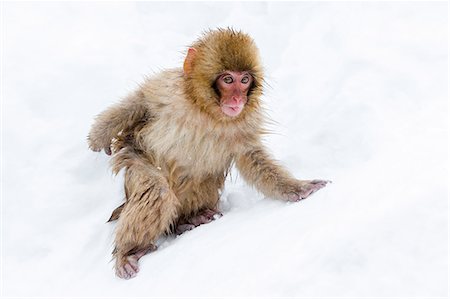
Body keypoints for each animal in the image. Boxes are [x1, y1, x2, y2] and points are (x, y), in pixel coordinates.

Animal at [87, 28, 326, 278]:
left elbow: (252, 158)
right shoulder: (168, 89)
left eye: (244, 80)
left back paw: (189, 219)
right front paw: (99, 135)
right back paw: (129, 251)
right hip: (135, 162)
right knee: (157, 190)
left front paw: (297, 188)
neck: (208, 111)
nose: (237, 99)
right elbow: (141, 100)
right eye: (228, 79)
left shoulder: (247, 123)